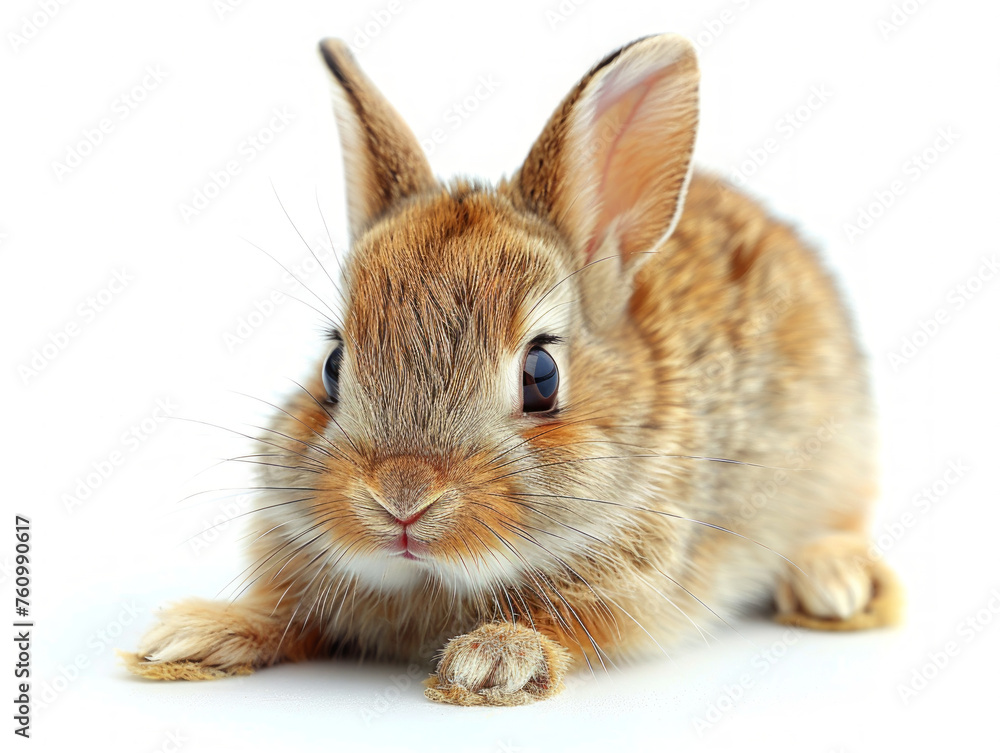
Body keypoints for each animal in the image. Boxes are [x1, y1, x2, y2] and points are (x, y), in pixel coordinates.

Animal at [121, 33, 902, 706]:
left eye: (542, 375)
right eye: (334, 365)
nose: (401, 498)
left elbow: (563, 624)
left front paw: (491, 660)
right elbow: (287, 615)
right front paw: (190, 635)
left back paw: (836, 582)